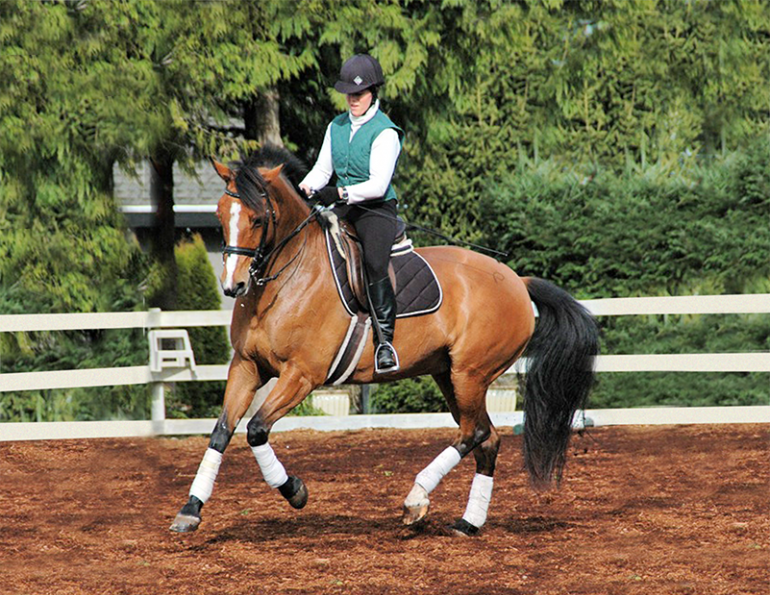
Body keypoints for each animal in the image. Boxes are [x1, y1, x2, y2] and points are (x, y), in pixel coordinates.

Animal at [170, 145, 599, 536]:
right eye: (219, 216)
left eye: (258, 219)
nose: (233, 286)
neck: (287, 280)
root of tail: (517, 281)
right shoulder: (246, 366)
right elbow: (222, 432)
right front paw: (190, 510)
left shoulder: (302, 374)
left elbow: (256, 429)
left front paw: (294, 491)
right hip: (449, 376)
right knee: (486, 438)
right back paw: (468, 522)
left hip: (471, 374)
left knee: (474, 433)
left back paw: (416, 500)